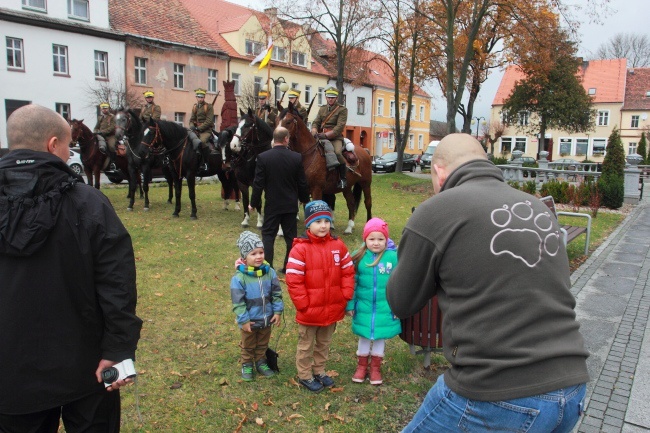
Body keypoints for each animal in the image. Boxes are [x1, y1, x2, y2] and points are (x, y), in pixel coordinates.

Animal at [276, 104, 372, 233]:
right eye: (277, 121)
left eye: (288, 121)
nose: (275, 141)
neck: (307, 155)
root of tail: (364, 151)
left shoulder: (316, 189)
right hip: (346, 188)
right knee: (351, 203)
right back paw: (349, 227)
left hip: (366, 184)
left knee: (368, 203)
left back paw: (370, 223)